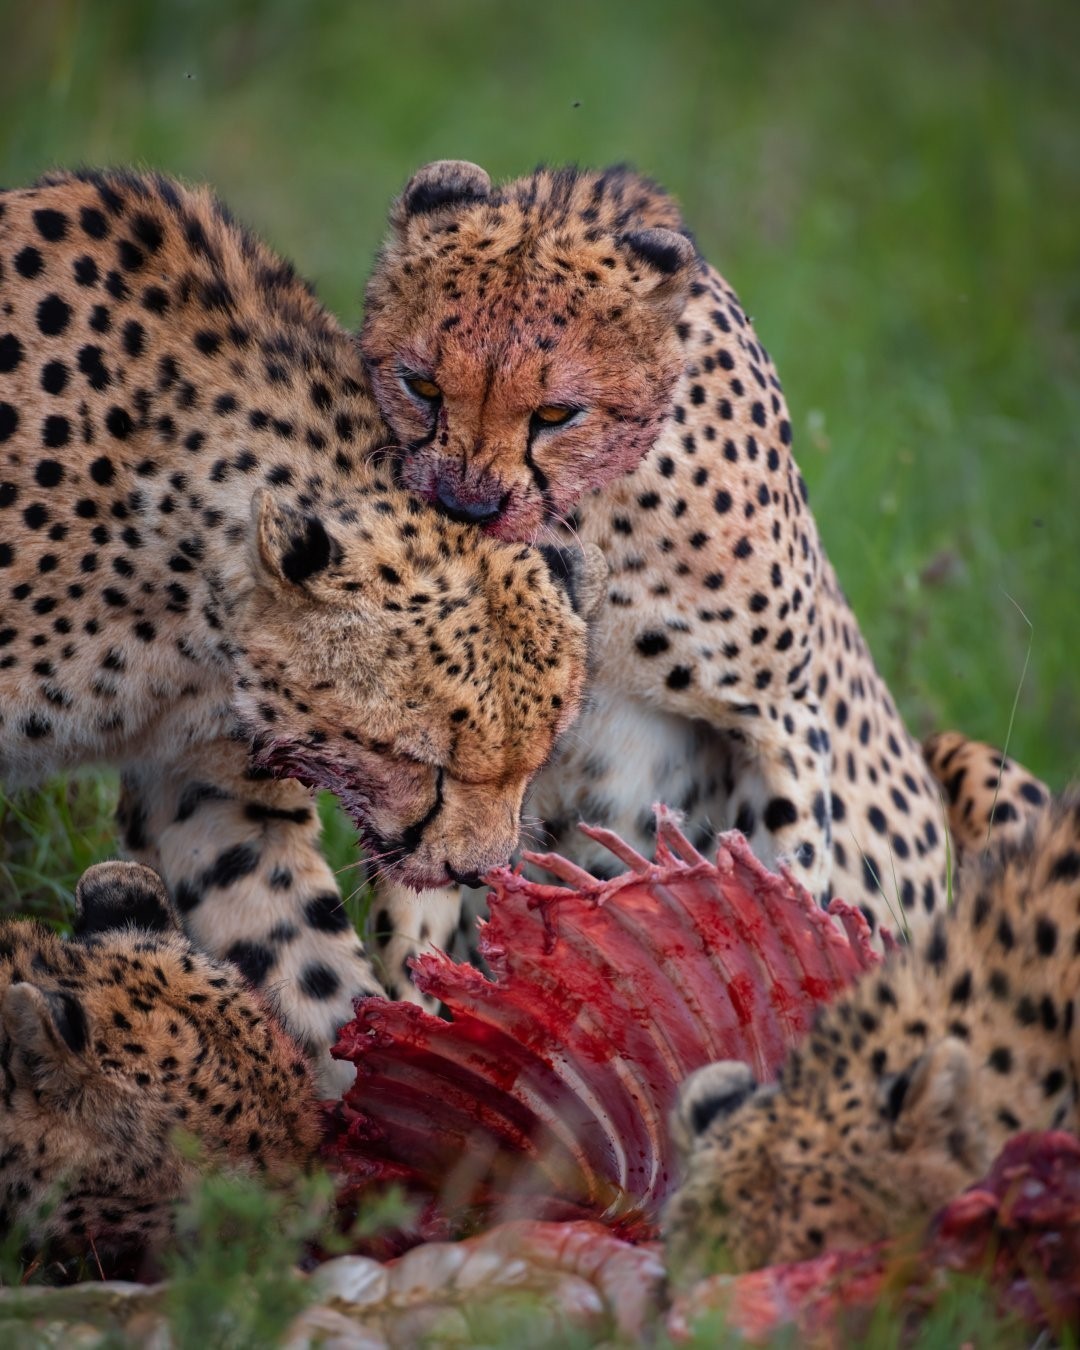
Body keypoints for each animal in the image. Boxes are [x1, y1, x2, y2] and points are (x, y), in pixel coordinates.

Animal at [359, 155, 982, 982]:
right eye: (421, 385)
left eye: (556, 414)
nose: (467, 506)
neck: (586, 525)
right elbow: (412, 931)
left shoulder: (780, 725)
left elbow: (778, 888)